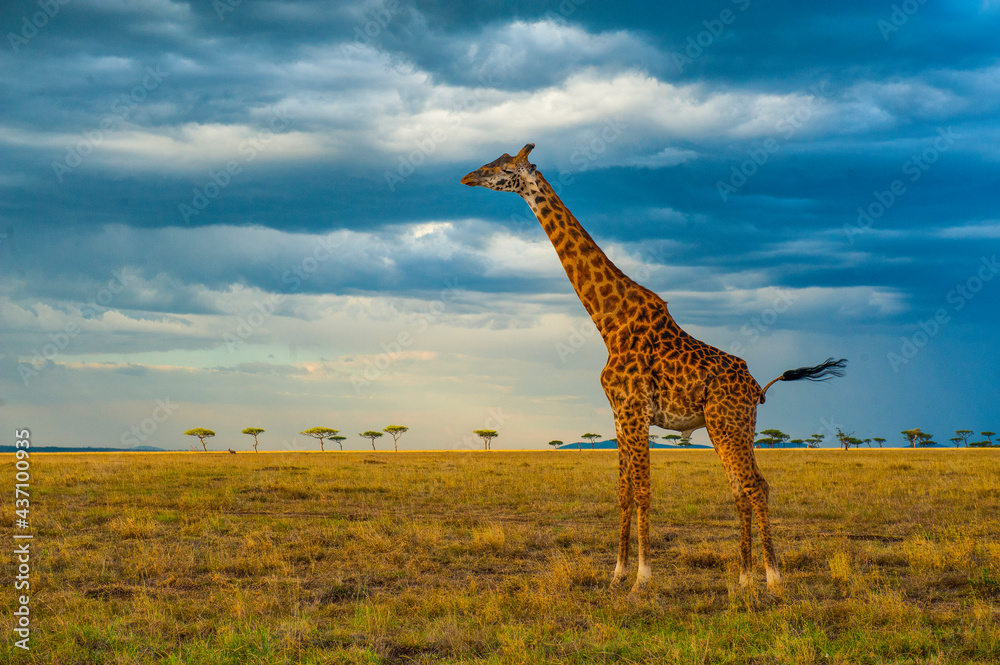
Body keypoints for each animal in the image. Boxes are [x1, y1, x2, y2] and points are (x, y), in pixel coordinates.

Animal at [461, 143, 846, 593]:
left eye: (504, 167)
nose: (468, 176)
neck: (609, 322)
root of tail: (757, 387)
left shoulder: (634, 410)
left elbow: (643, 491)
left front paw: (642, 579)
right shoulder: (618, 413)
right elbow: (623, 493)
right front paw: (617, 573)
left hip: (728, 423)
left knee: (757, 486)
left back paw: (773, 578)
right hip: (732, 427)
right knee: (740, 489)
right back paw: (743, 578)